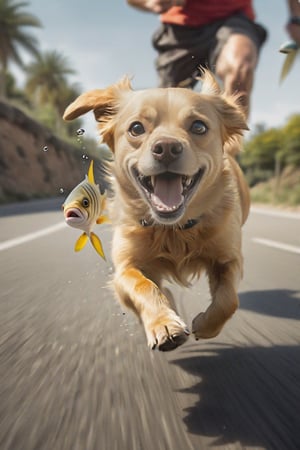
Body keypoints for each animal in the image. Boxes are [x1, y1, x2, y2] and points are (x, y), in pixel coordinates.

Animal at [63, 70, 251, 352]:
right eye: (136, 128)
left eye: (199, 127)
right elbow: (143, 286)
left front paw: (205, 325)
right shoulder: (125, 268)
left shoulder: (228, 259)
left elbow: (229, 300)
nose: (167, 148)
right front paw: (165, 323)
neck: (173, 229)